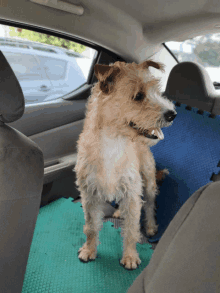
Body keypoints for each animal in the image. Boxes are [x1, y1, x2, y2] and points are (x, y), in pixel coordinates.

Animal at [75, 59, 176, 270]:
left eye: (156, 91)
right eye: (138, 96)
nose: (172, 114)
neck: (113, 142)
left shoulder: (132, 192)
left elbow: (131, 230)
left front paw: (130, 256)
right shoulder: (89, 195)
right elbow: (91, 226)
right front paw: (89, 250)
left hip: (148, 181)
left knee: (149, 205)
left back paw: (151, 226)